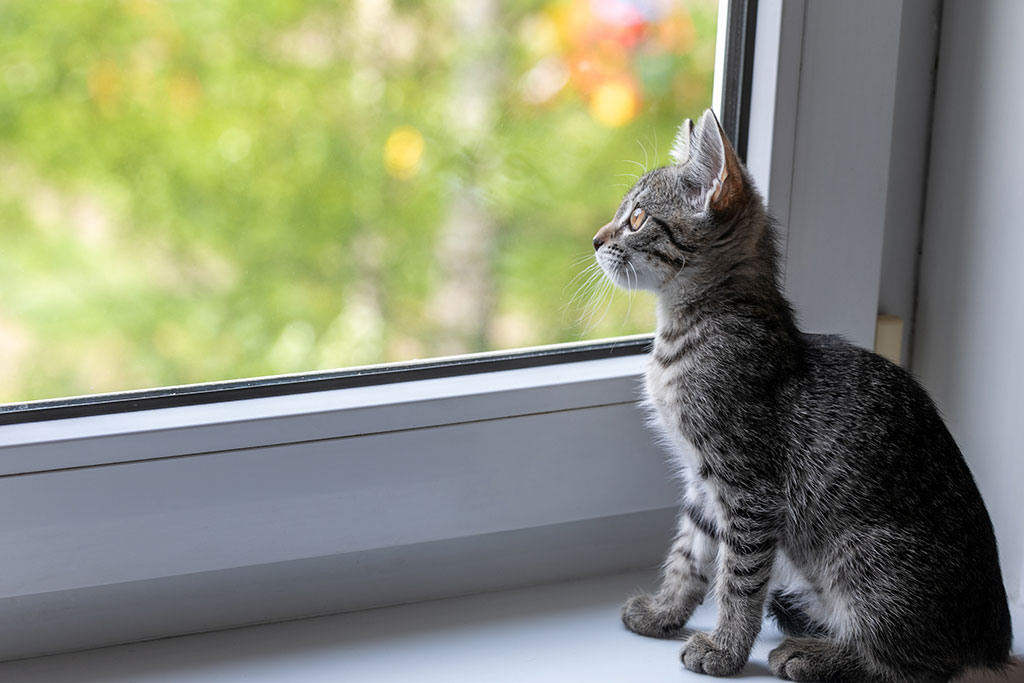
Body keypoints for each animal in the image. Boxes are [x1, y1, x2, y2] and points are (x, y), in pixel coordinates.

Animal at [598, 109, 1011, 679]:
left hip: (863, 556)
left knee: (915, 665)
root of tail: (994, 638)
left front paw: (726, 648)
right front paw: (664, 612)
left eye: (636, 219)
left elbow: (738, 580)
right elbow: (689, 554)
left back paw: (814, 656)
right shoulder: (704, 485)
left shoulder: (750, 490)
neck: (690, 328)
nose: (596, 240)